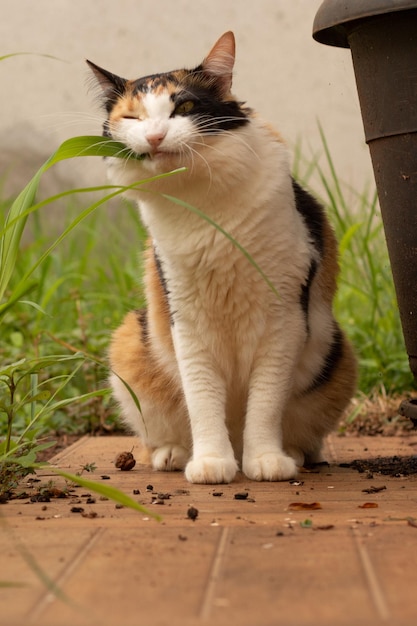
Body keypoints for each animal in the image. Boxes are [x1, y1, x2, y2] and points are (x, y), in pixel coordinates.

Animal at [87, 30, 354, 482]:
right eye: (132, 118)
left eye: (184, 107)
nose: (155, 137)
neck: (205, 205)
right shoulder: (186, 318)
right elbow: (202, 396)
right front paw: (211, 461)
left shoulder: (283, 318)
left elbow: (265, 401)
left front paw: (265, 459)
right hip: (130, 342)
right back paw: (175, 454)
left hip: (337, 353)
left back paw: (291, 454)